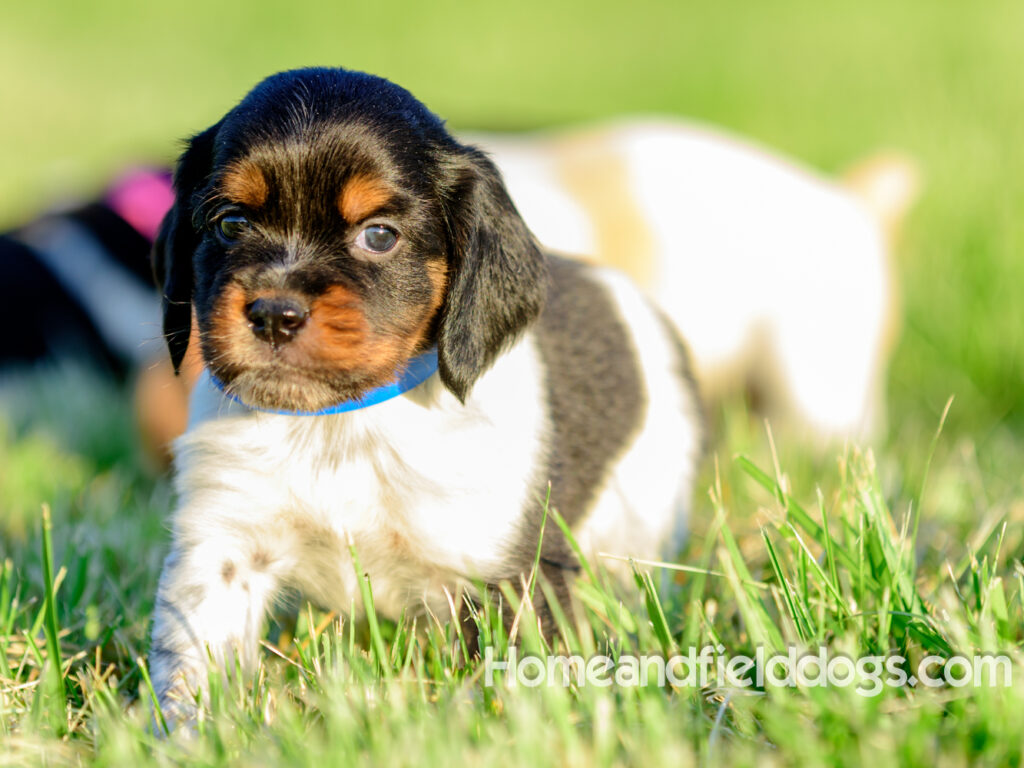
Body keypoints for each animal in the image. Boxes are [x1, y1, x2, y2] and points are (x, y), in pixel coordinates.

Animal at [146, 67, 704, 720]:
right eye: (231, 223)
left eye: (379, 236)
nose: (274, 315)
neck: (338, 424)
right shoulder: (225, 543)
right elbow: (191, 667)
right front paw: (189, 731)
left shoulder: (503, 573)